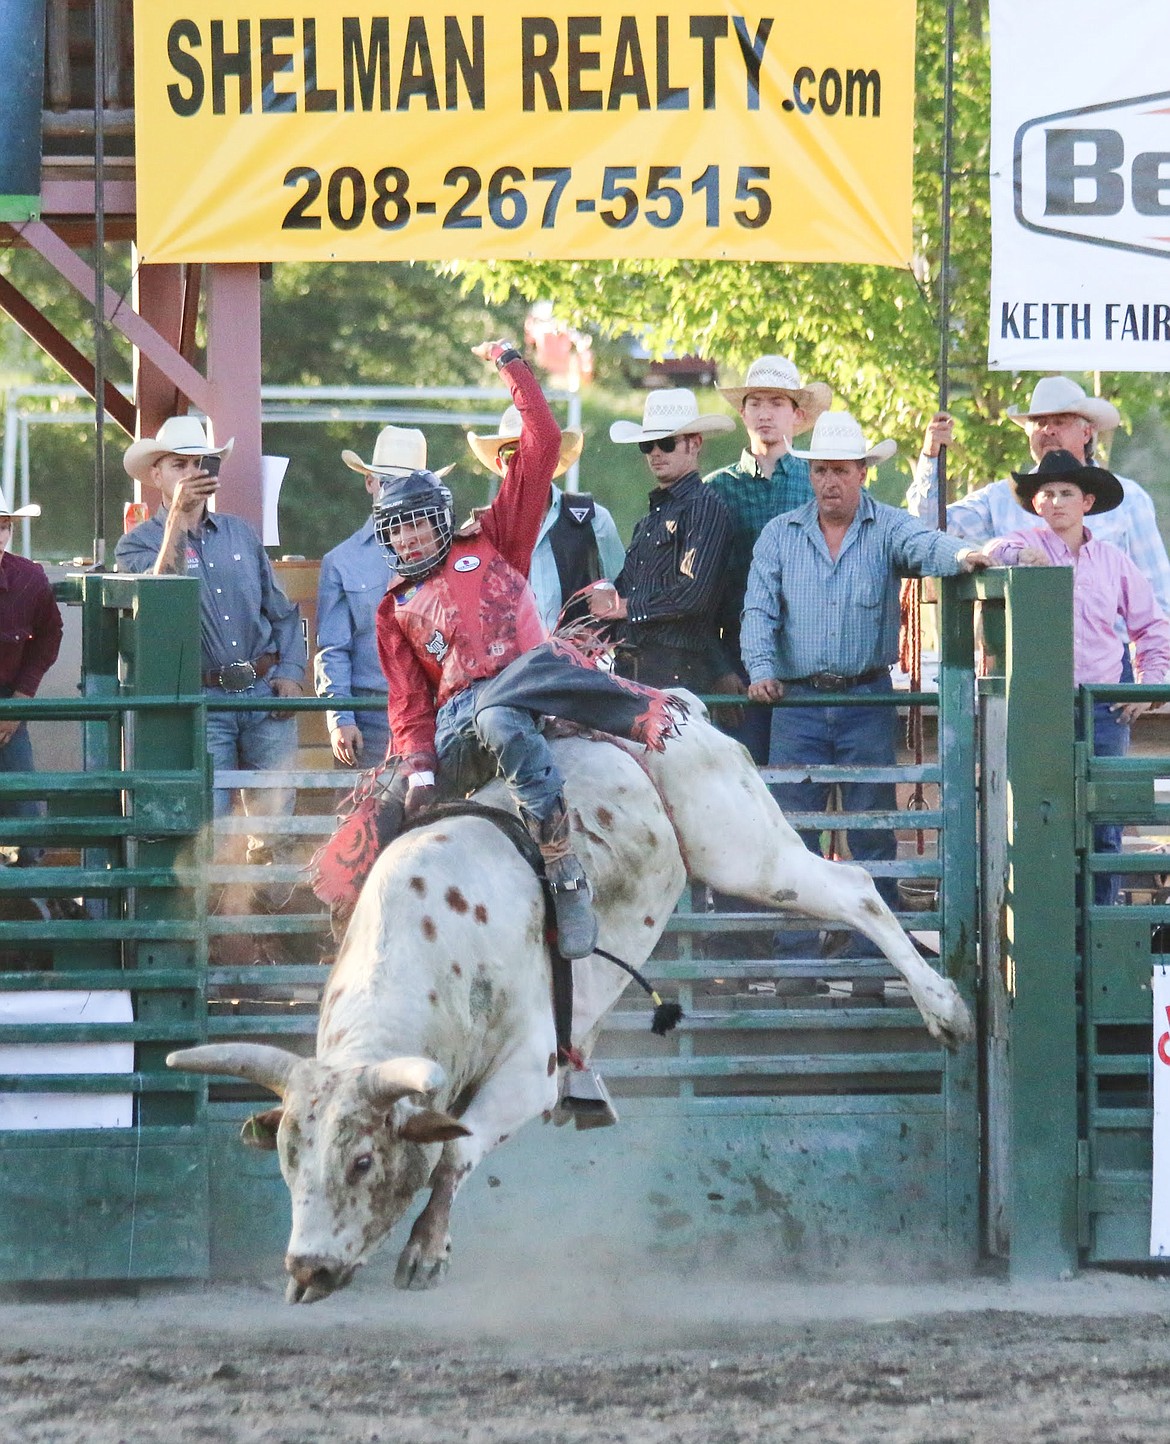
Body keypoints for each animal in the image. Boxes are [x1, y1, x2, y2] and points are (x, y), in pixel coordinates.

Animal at [163, 696, 964, 1299]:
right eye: (288, 1157)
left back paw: (945, 1009)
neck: (430, 953)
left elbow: (456, 1152)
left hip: (742, 849)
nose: (307, 1268)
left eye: (362, 1161)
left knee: (854, 889)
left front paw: (425, 1251)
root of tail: (680, 706)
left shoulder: (528, 1068)